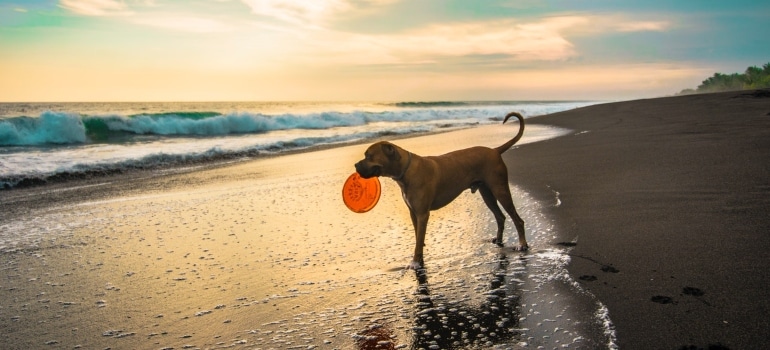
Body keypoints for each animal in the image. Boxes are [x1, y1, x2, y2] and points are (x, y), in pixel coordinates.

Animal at [356, 110, 528, 270]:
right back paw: (498, 239)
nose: (355, 165)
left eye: (369, 156)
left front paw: (415, 262)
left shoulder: (422, 214)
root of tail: (495, 150)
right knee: (500, 216)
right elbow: (418, 237)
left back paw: (522, 244)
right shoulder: (413, 213)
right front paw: (419, 257)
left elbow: (419, 240)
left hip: (500, 189)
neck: (406, 170)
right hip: (487, 193)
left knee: (517, 219)